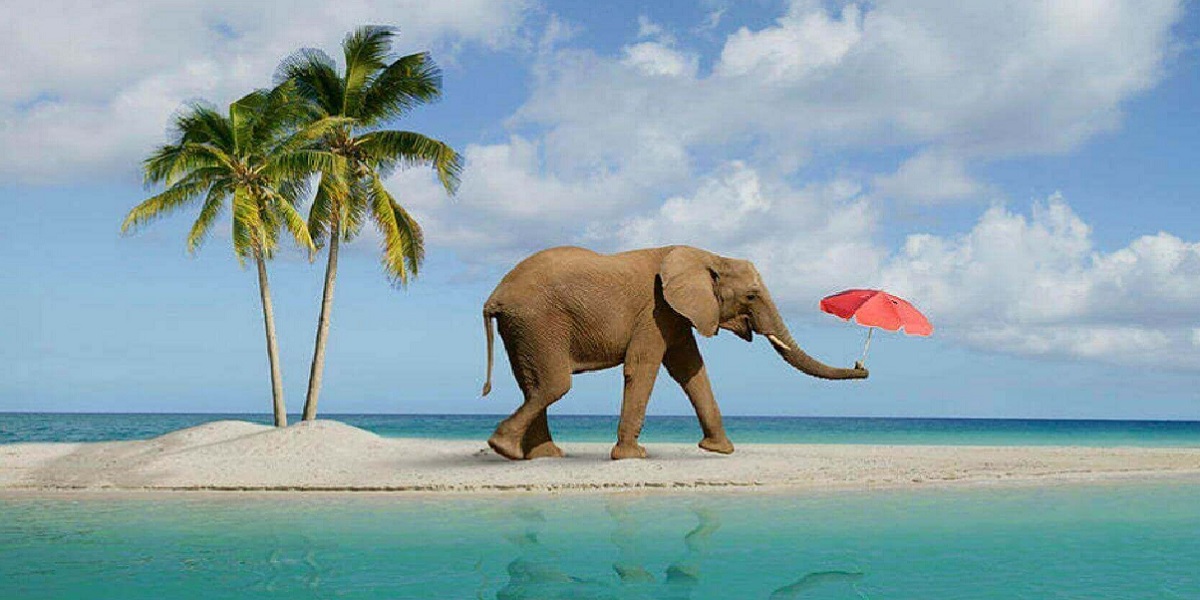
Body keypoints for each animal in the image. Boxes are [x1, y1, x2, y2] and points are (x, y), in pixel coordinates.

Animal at [480, 245, 868, 461]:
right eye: (752, 296)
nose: (862, 367)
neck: (709, 255)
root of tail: (495, 295)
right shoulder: (656, 310)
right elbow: (644, 367)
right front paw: (632, 457)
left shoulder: (677, 314)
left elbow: (691, 370)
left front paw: (719, 451)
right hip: (538, 322)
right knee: (555, 385)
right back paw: (504, 448)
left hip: (523, 327)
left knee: (533, 385)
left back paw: (541, 455)